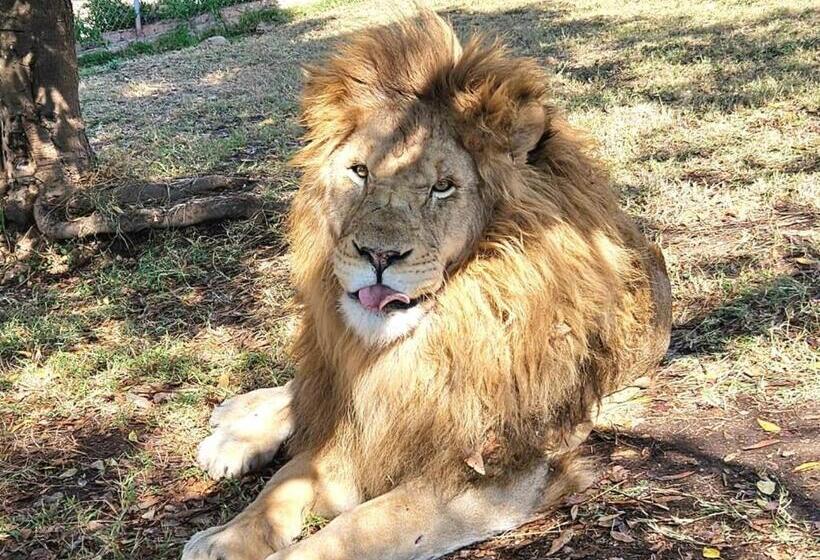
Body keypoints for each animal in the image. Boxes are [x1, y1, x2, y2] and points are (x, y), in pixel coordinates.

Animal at [183, 11, 671, 560]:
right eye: (359, 172)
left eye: (443, 187)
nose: (378, 256)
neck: (420, 345)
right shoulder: (361, 424)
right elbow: (283, 482)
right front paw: (224, 536)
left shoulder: (493, 474)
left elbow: (354, 529)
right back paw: (234, 430)